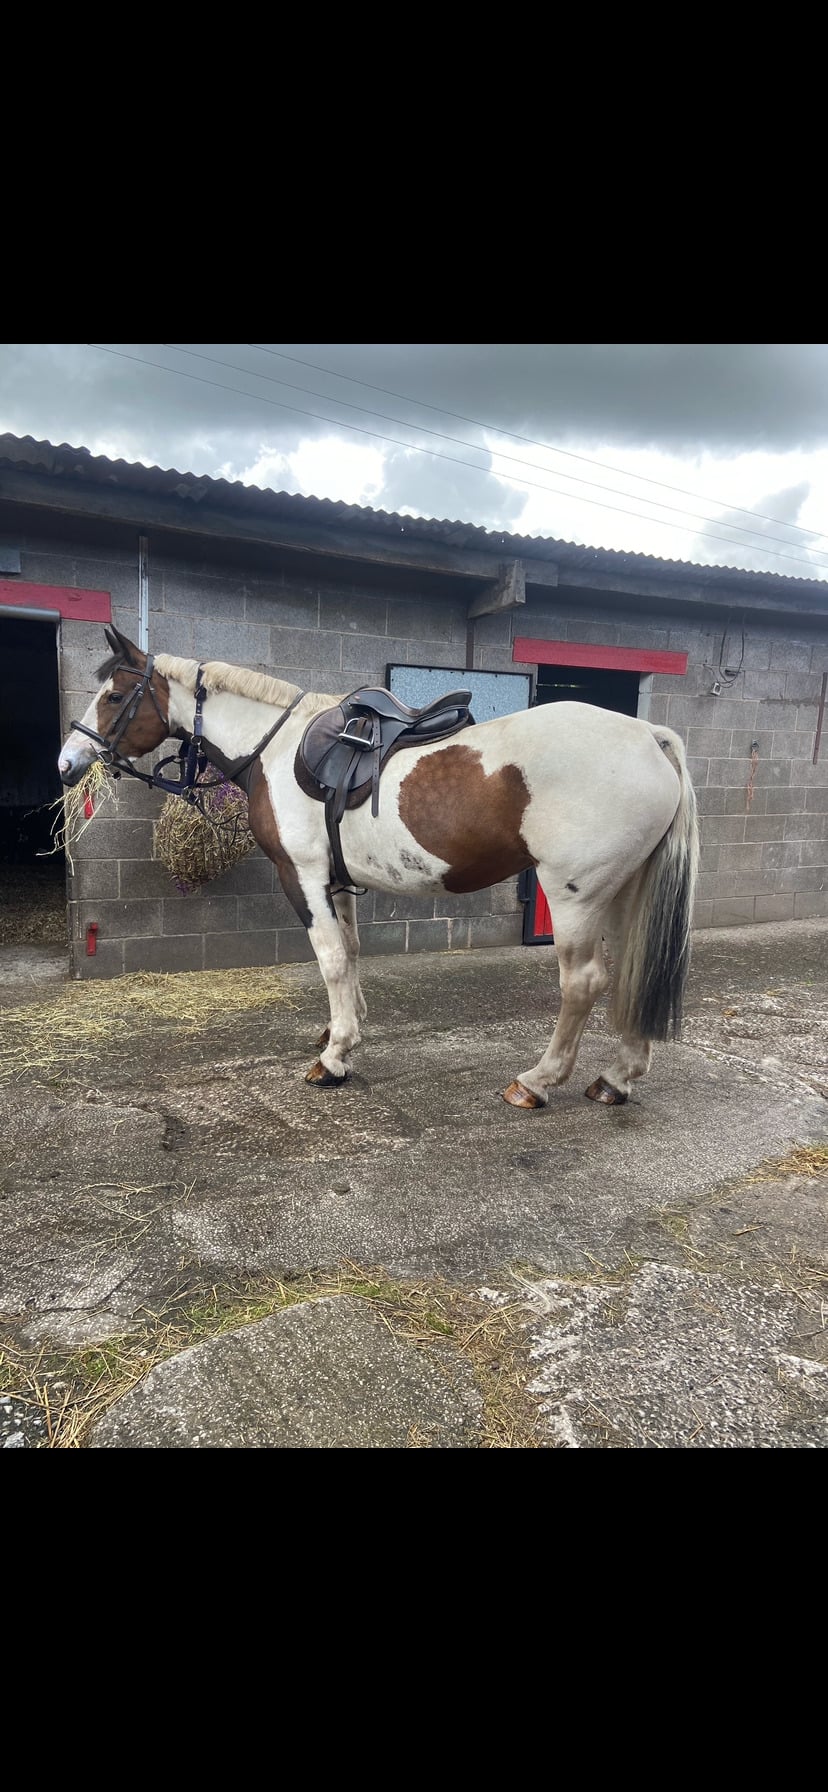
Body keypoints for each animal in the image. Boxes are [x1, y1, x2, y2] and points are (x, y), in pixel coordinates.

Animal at [58, 626, 699, 1110]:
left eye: (114, 696)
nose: (68, 763)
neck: (275, 747)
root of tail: (648, 734)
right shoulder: (337, 882)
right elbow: (351, 952)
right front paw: (342, 1029)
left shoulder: (303, 877)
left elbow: (331, 959)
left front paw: (334, 1057)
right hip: (622, 894)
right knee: (631, 971)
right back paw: (616, 1078)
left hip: (574, 897)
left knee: (583, 982)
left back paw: (537, 1082)